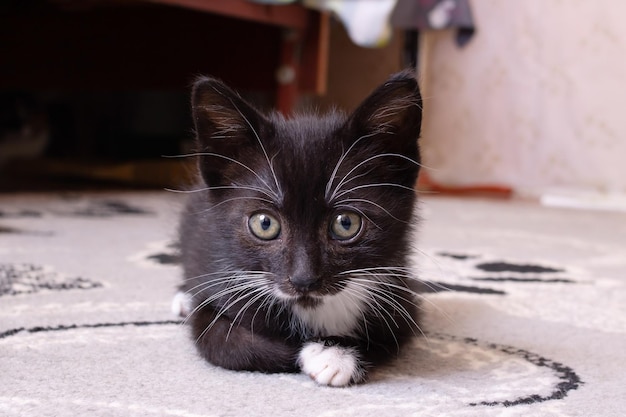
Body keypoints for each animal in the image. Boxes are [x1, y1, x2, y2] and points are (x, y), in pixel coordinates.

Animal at [173, 70, 422, 386]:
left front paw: (334, 354)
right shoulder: (219, 287)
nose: (304, 280)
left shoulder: (402, 297)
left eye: (346, 223)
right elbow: (224, 343)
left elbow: (391, 335)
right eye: (265, 224)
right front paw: (315, 352)